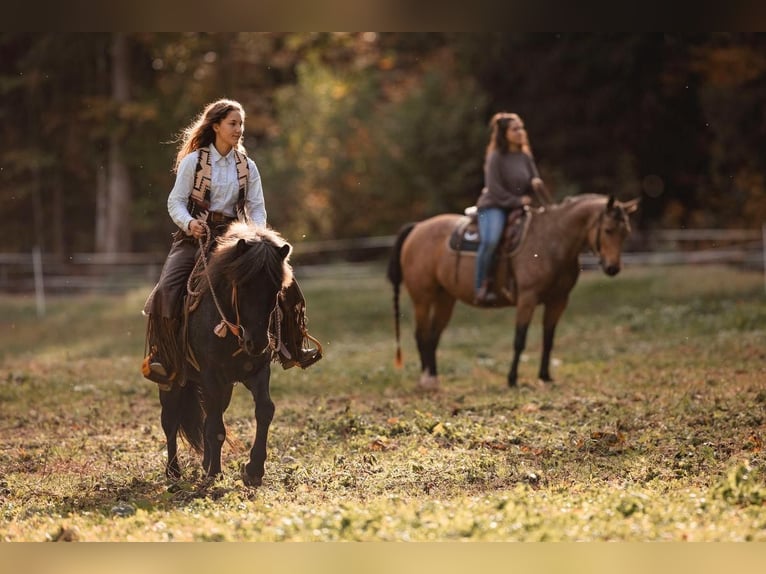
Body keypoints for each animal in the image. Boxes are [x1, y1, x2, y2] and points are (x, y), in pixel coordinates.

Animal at [159, 221, 293, 486]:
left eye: (276, 289)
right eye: (242, 285)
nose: (257, 342)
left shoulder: (256, 372)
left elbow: (264, 410)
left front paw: (253, 470)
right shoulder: (211, 376)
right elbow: (216, 428)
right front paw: (215, 473)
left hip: (224, 388)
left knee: (207, 418)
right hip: (171, 383)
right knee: (170, 421)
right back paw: (174, 472)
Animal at [387, 194, 639, 390]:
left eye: (626, 232)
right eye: (608, 230)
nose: (613, 268)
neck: (551, 242)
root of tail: (418, 227)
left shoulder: (558, 301)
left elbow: (548, 339)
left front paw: (545, 377)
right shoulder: (527, 298)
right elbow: (520, 339)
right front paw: (512, 379)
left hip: (445, 298)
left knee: (433, 336)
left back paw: (434, 377)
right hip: (422, 297)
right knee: (421, 335)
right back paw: (426, 380)